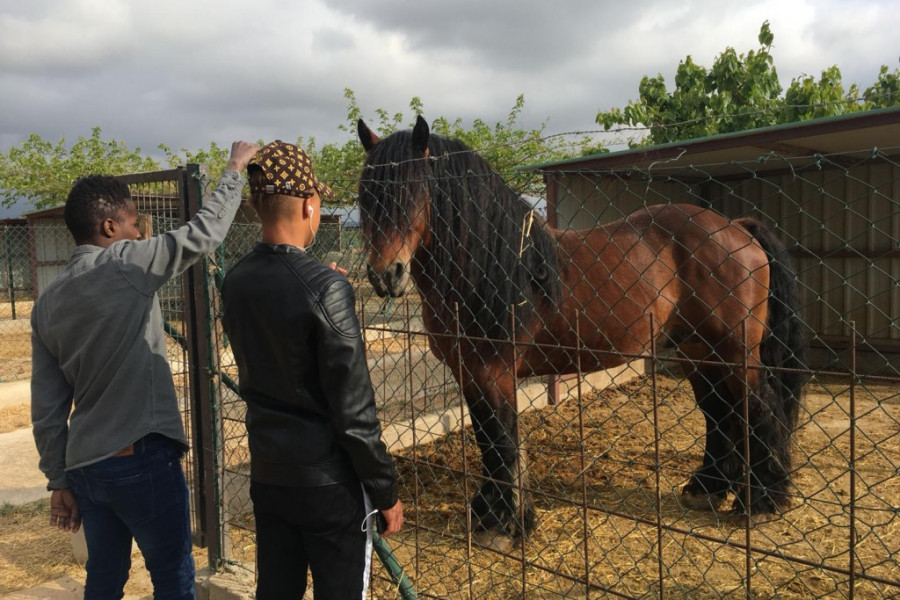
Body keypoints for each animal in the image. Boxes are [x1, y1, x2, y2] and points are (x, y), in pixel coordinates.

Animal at [356, 115, 804, 536]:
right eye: (366, 196)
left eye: (412, 193)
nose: (385, 275)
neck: (495, 266)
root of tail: (737, 229)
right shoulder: (467, 372)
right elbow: (487, 437)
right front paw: (489, 512)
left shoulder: (494, 371)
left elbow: (502, 437)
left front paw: (506, 523)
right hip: (699, 352)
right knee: (719, 412)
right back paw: (707, 488)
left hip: (734, 353)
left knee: (758, 407)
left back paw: (764, 500)